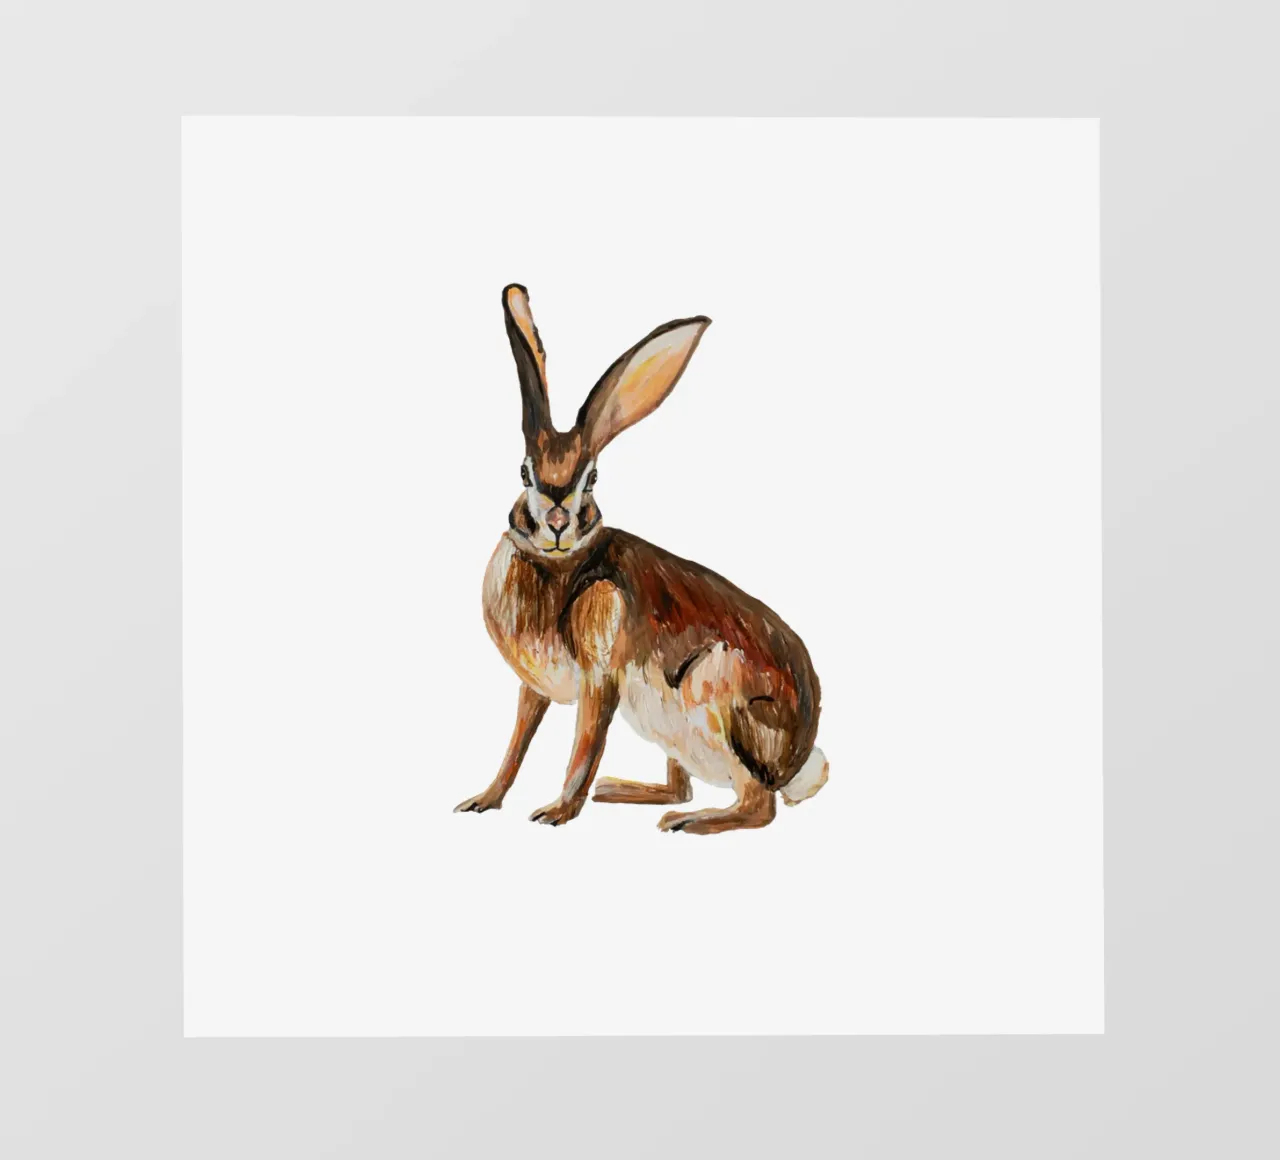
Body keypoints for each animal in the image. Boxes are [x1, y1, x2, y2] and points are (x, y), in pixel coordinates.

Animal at [454, 285, 828, 834]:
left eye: (591, 479)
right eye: (524, 473)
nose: (558, 522)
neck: (558, 565)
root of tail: (797, 762)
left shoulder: (600, 678)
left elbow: (584, 747)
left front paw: (556, 812)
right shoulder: (533, 688)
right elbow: (516, 745)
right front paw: (483, 800)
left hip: (713, 693)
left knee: (758, 804)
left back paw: (688, 822)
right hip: (668, 727)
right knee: (684, 783)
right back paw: (621, 790)